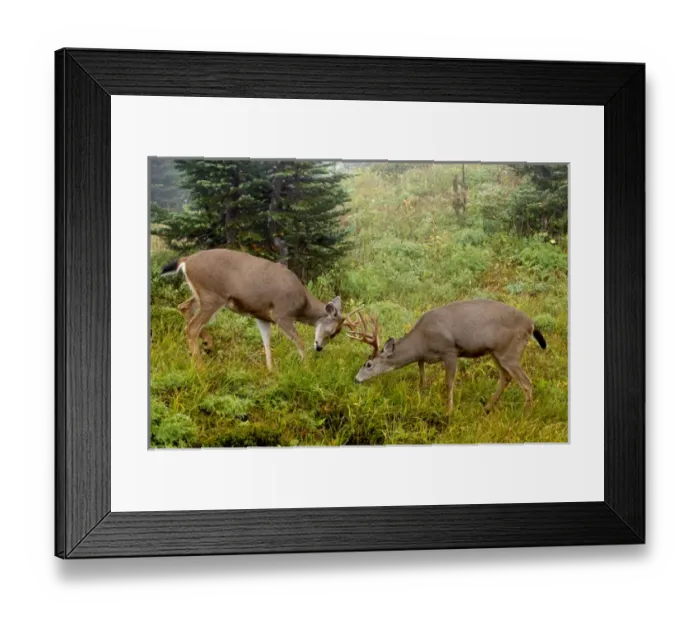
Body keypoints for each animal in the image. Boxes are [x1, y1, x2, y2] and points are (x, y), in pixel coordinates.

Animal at [160, 248, 361, 369]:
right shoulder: (282, 314)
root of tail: (186, 260)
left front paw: (271, 370)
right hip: (212, 296)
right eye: (333, 331)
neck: (302, 304)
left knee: (183, 307)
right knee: (191, 327)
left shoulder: (262, 316)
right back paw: (201, 367)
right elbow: (299, 341)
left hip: (203, 295)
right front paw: (306, 367)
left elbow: (266, 343)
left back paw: (208, 345)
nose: (319, 348)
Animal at [348, 299, 547, 414]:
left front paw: (449, 411)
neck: (421, 341)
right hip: (496, 352)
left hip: (510, 352)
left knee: (527, 382)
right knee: (506, 377)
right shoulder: (424, 357)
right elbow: (421, 373)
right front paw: (423, 394)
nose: (356, 379)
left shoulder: (450, 351)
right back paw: (486, 408)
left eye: (368, 364)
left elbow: (448, 383)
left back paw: (524, 416)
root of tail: (531, 324)